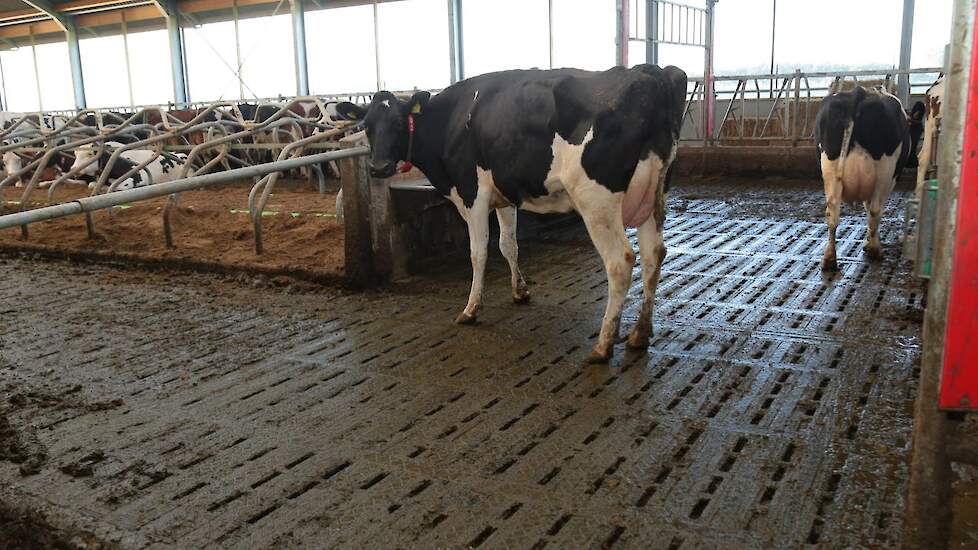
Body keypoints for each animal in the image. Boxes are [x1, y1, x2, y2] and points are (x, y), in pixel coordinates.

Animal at [340, 64, 684, 364]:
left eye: (398, 124)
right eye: (367, 128)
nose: (378, 168)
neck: (451, 121)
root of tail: (650, 73)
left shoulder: (472, 193)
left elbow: (478, 252)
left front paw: (471, 309)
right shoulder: (504, 196)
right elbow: (508, 245)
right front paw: (520, 291)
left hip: (596, 200)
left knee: (620, 262)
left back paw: (603, 345)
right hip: (652, 197)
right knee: (654, 254)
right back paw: (640, 334)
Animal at [812, 85, 912, 272]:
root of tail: (858, 94)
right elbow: (871, 209)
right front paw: (869, 242)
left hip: (829, 167)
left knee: (832, 213)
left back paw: (829, 259)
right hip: (885, 171)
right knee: (875, 210)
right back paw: (874, 250)